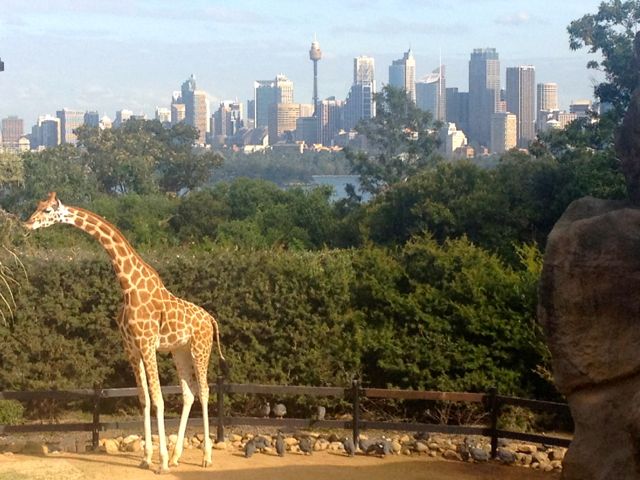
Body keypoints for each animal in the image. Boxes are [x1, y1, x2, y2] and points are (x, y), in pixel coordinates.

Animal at [24, 192, 228, 473]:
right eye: (37, 206)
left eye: (46, 210)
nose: (26, 224)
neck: (128, 286)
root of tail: (210, 319)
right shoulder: (131, 347)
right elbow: (143, 398)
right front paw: (146, 458)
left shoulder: (147, 343)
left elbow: (158, 399)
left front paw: (161, 463)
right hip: (180, 350)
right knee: (189, 393)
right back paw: (177, 456)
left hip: (201, 347)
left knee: (206, 391)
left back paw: (205, 458)